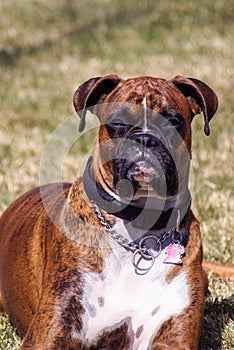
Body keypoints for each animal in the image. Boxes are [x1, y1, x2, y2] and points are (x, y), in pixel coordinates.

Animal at [0, 75, 221, 348]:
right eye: (118, 122)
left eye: (173, 120)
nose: (145, 139)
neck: (139, 232)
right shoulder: (48, 334)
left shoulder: (174, 337)